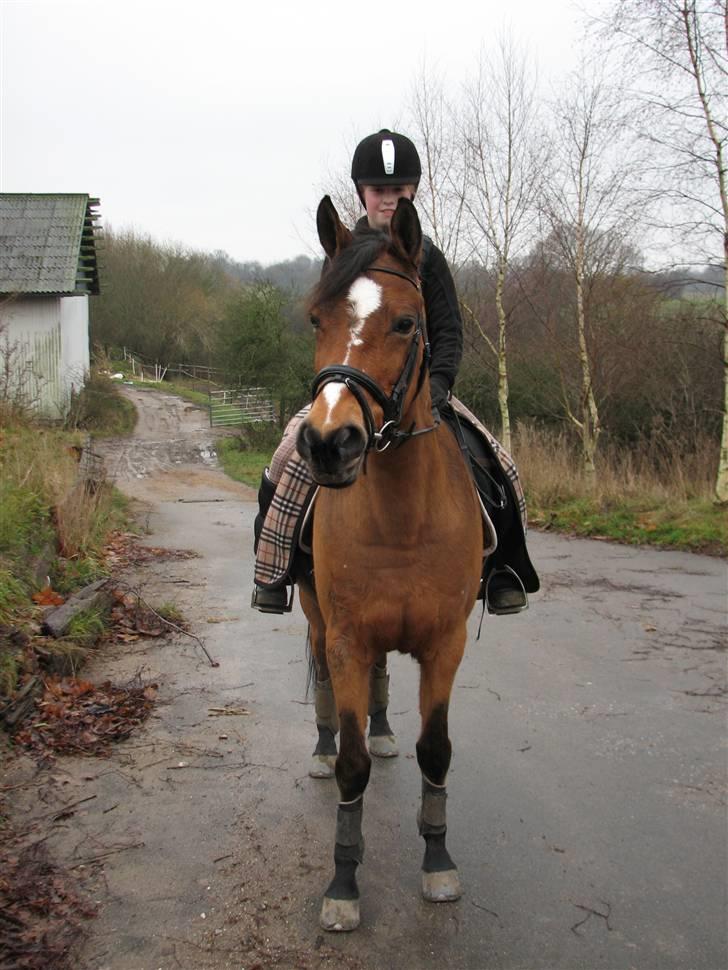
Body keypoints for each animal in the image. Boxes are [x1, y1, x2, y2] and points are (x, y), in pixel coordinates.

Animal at [296, 197, 484, 932]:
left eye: (407, 323)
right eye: (316, 319)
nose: (329, 444)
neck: (402, 519)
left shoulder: (445, 643)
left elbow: (438, 751)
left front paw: (439, 862)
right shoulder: (347, 636)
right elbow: (353, 767)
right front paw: (344, 881)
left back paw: (381, 732)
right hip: (318, 620)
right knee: (326, 690)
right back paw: (323, 748)